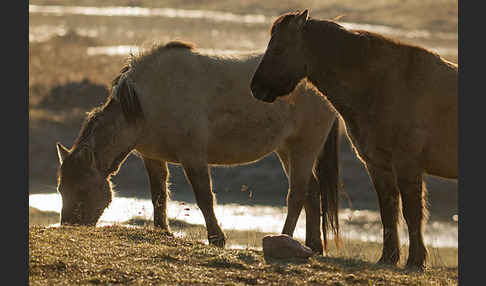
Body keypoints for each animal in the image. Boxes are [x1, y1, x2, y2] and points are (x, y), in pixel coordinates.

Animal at [55, 40, 340, 252]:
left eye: (83, 188)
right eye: (60, 188)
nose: (69, 226)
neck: (147, 101)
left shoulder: (193, 156)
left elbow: (204, 197)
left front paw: (217, 239)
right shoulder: (152, 157)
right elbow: (158, 194)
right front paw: (162, 231)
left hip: (304, 147)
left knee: (297, 194)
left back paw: (283, 240)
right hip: (286, 149)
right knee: (312, 192)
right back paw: (313, 246)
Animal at [251, 10, 460, 270]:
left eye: (279, 48)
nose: (256, 88)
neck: (384, 85)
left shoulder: (407, 165)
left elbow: (412, 213)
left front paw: (415, 261)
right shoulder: (377, 165)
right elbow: (388, 211)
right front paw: (389, 258)